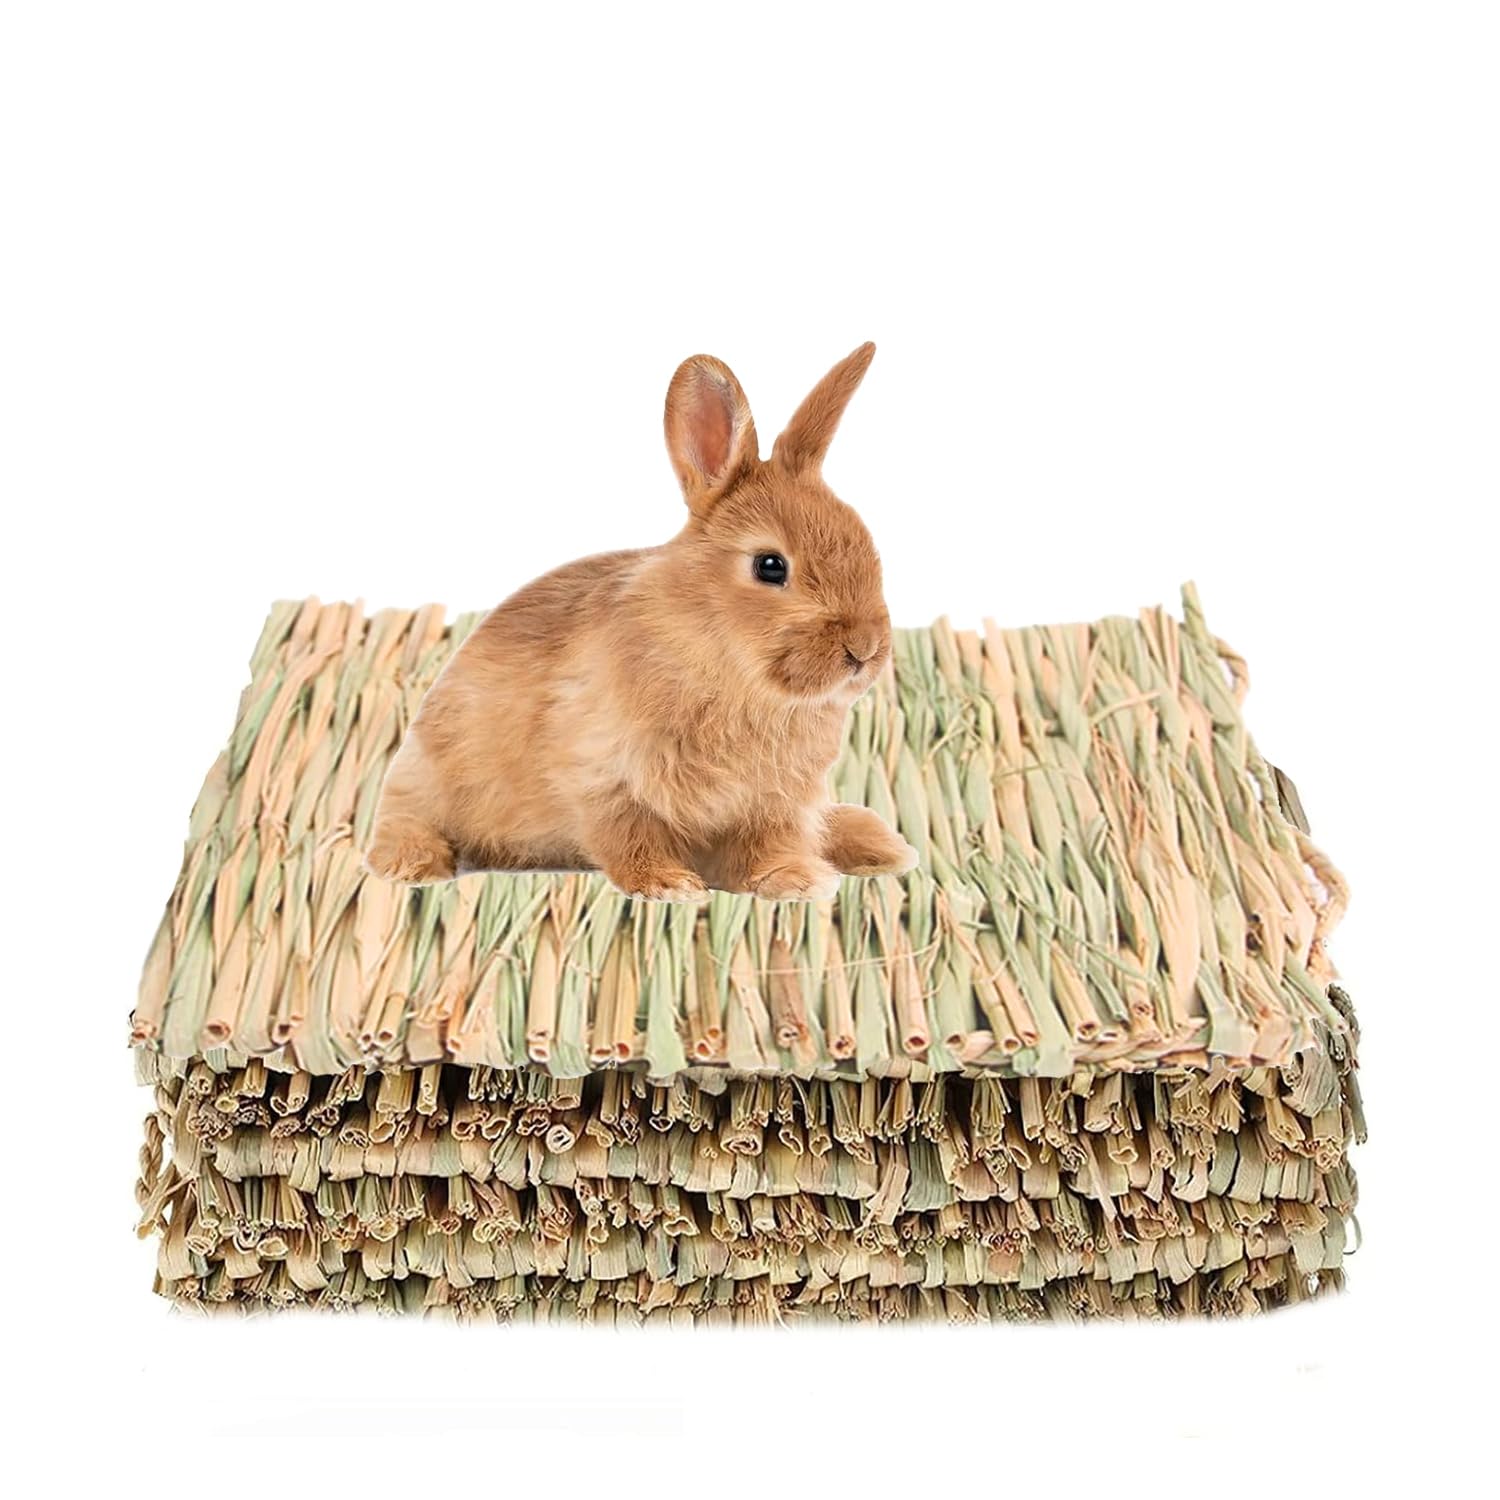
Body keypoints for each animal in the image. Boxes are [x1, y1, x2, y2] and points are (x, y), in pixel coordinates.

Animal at [364, 342, 918, 901]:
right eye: (770, 566)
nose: (865, 649)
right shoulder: (607, 778)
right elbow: (629, 838)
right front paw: (671, 885)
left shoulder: (773, 804)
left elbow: (767, 845)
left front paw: (793, 880)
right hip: (428, 777)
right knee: (406, 819)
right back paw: (413, 864)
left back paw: (880, 844)